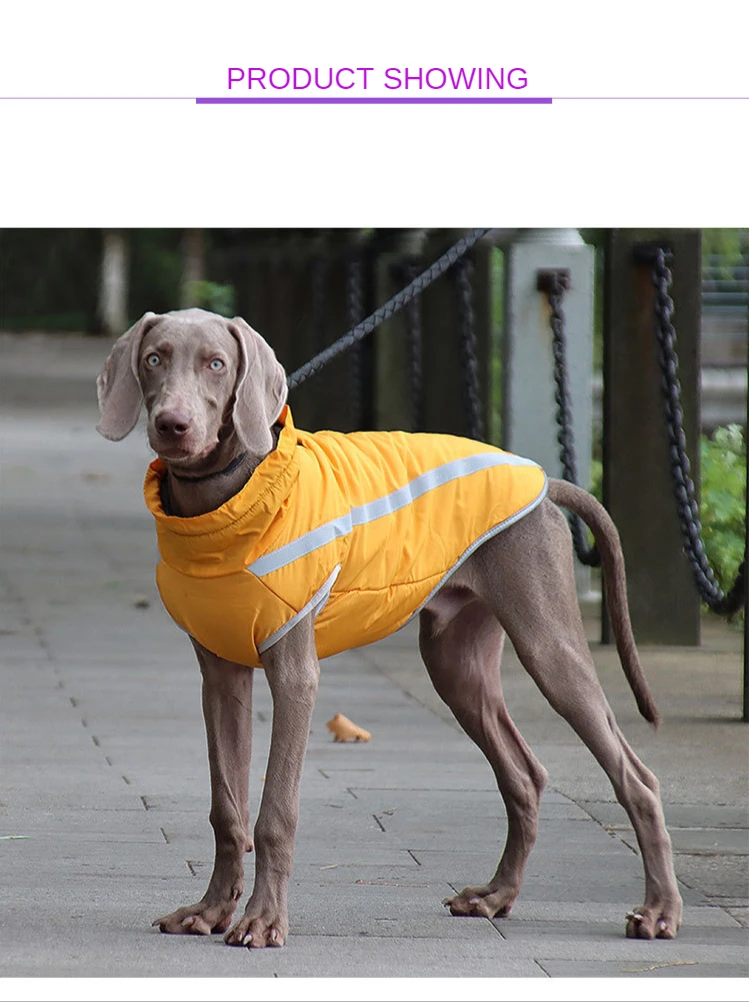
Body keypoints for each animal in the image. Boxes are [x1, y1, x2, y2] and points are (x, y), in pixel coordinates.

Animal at [96, 304, 680, 945]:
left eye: (216, 364)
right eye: (155, 359)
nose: (172, 426)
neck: (226, 501)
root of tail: (548, 484)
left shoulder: (294, 674)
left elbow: (275, 810)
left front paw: (263, 920)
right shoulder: (220, 675)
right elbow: (227, 807)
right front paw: (209, 911)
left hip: (548, 645)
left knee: (636, 778)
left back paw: (659, 910)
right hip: (456, 662)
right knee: (525, 776)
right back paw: (496, 896)